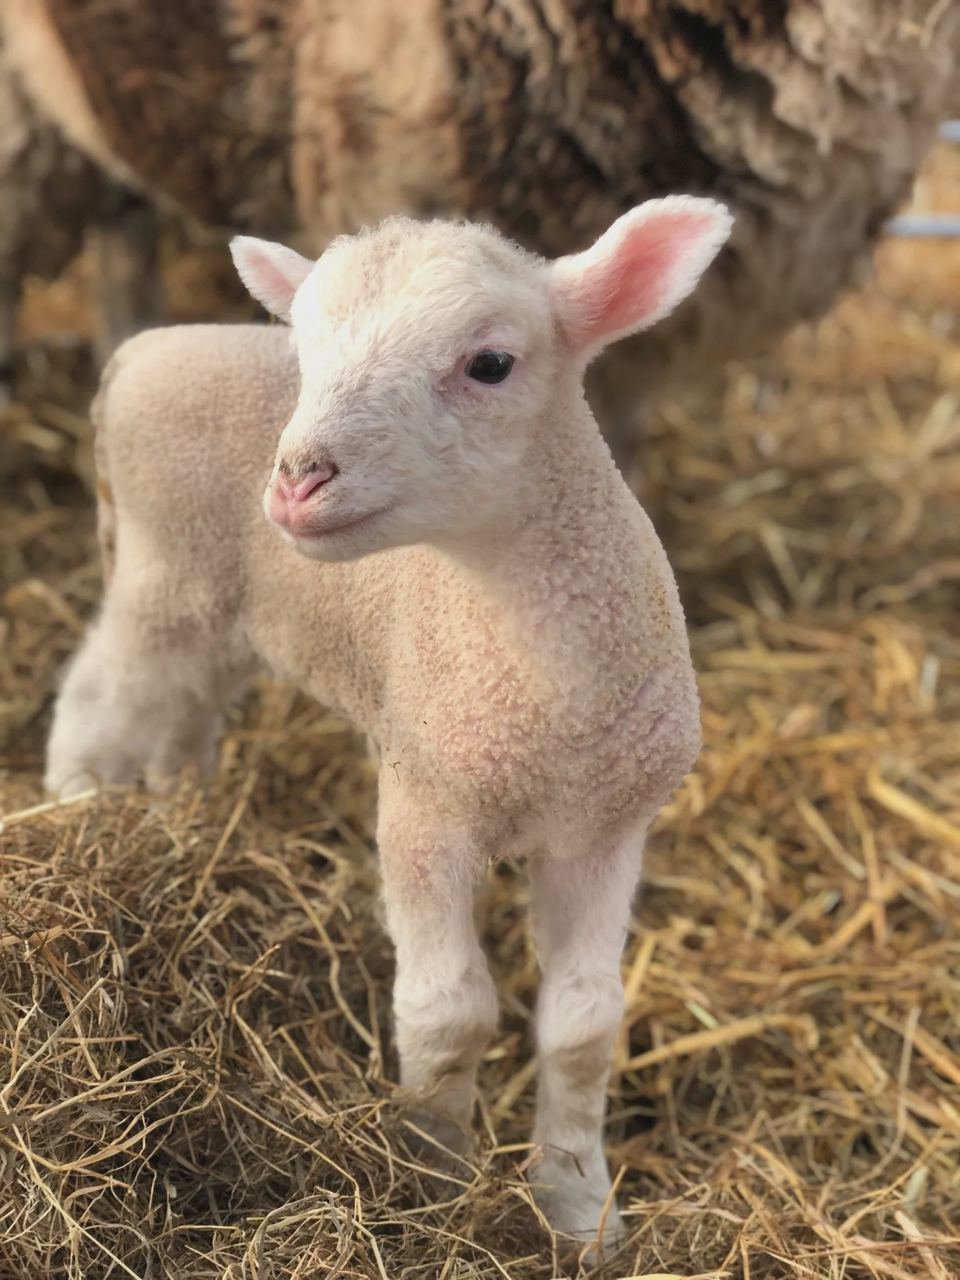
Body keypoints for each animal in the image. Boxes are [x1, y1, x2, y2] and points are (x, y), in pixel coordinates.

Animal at [44, 196, 730, 1242]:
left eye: (491, 363)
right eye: (304, 351)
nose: (298, 479)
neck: (548, 697)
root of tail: (140, 352)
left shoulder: (606, 827)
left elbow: (584, 1024)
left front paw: (579, 1206)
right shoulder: (424, 802)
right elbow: (451, 1013)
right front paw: (434, 1184)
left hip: (222, 609)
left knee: (185, 714)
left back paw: (181, 815)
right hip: (161, 575)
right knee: (93, 703)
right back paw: (70, 817)